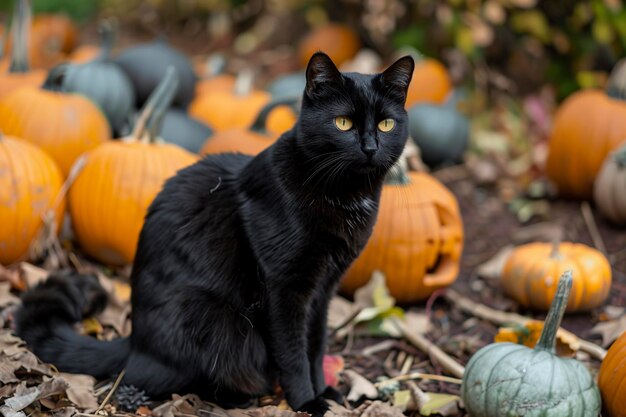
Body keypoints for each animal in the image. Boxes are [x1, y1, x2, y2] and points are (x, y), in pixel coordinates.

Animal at [14, 52, 412, 416]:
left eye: (386, 124)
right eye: (342, 123)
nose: (370, 147)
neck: (345, 196)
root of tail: (136, 342)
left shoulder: (324, 288)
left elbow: (315, 346)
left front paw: (325, 392)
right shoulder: (285, 288)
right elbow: (293, 352)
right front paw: (306, 402)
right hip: (222, 325)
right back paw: (237, 397)